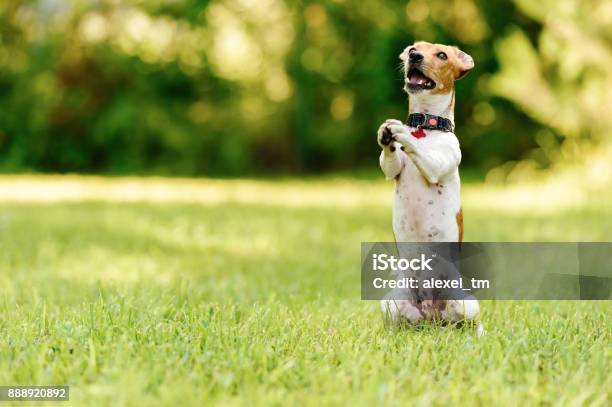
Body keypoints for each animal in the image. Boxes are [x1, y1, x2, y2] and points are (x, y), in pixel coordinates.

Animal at [378, 41, 482, 336]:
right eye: (414, 48)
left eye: (442, 55)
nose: (414, 56)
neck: (425, 127)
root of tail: (431, 316)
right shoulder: (392, 169)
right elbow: (389, 160)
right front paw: (386, 135)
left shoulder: (436, 164)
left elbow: (420, 151)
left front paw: (402, 133)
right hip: (391, 303)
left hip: (466, 303)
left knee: (470, 323)